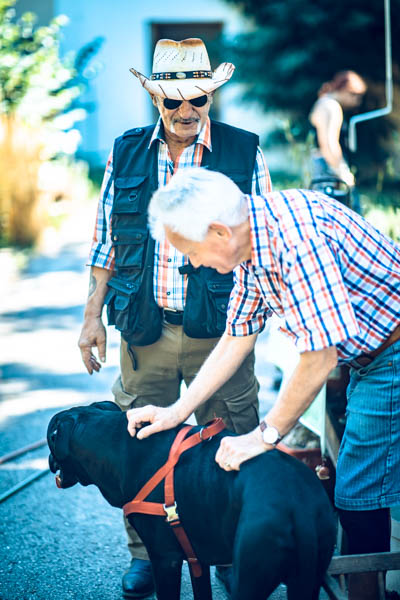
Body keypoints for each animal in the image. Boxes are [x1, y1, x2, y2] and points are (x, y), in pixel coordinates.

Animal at [47, 401, 336, 600]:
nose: (49, 461)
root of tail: (299, 504)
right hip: (310, 574)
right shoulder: (197, 559)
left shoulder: (165, 559)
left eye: (50, 442)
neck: (116, 444)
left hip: (251, 574)